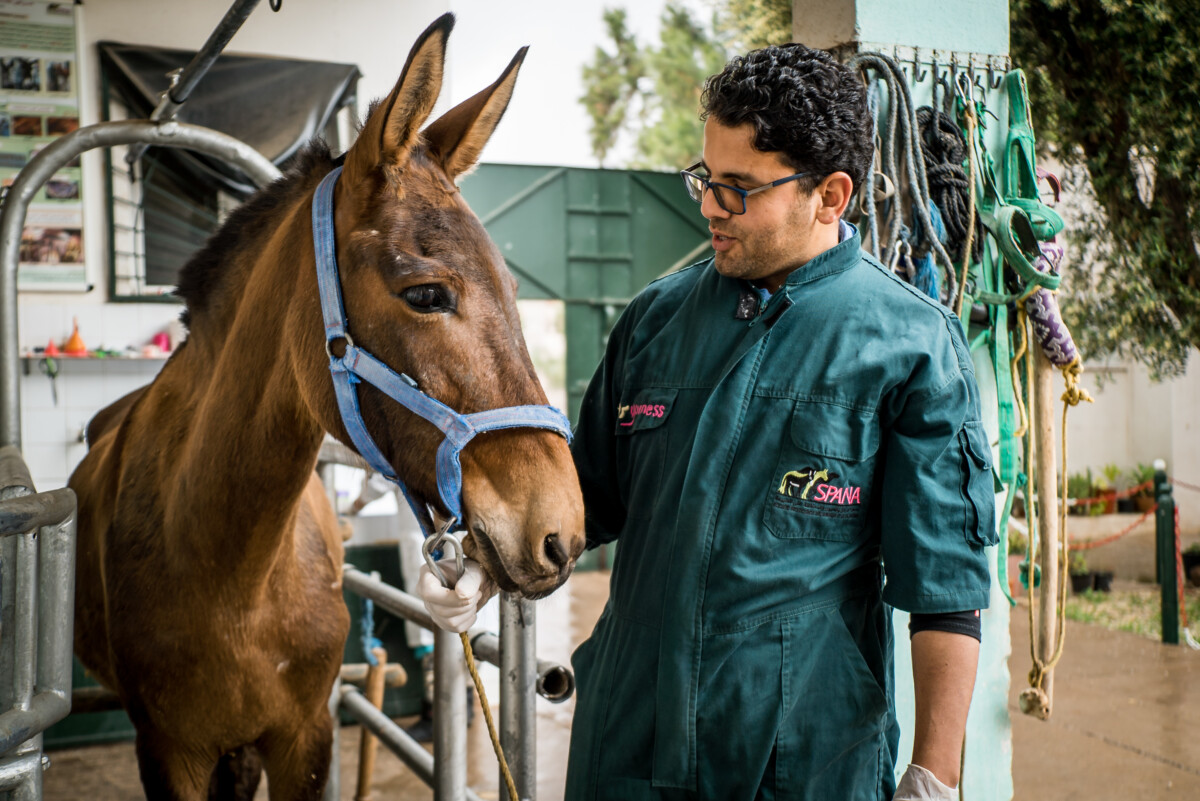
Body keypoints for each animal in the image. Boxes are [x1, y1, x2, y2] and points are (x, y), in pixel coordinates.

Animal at [70, 15, 585, 796]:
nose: (563, 532)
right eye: (425, 293)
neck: (231, 569)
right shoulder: (166, 750)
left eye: (515, 289)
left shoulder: (304, 738)